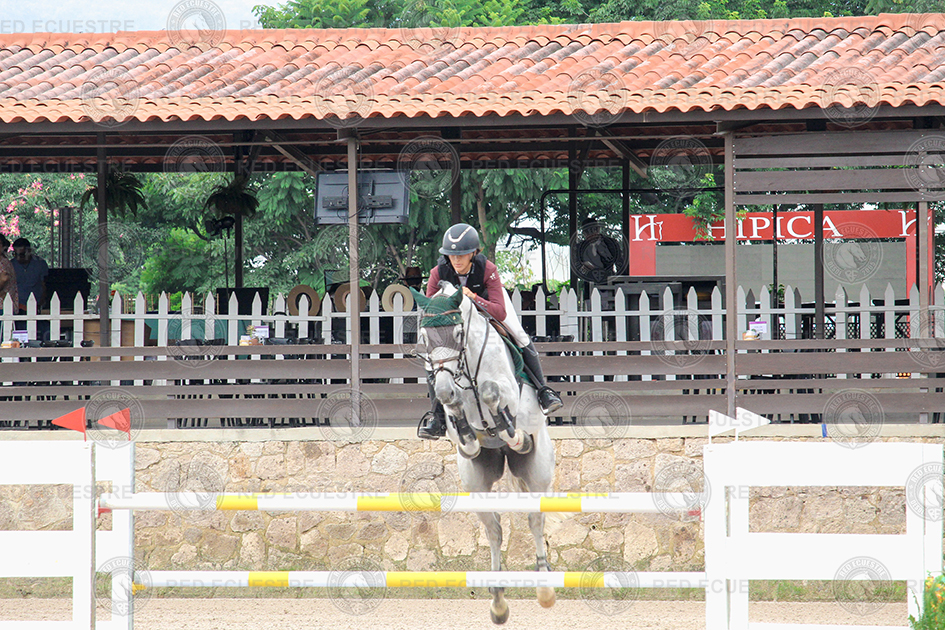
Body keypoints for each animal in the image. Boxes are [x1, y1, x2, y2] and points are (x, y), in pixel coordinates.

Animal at [411, 283, 556, 624]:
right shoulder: (458, 430)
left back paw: (544, 589)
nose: (445, 387)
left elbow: (492, 394)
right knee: (494, 530)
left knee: (535, 519)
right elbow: (464, 433)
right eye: (425, 337)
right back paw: (498, 601)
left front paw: (511, 431)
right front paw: (461, 419)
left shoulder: (505, 391)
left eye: (458, 334)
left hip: (539, 474)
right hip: (475, 483)